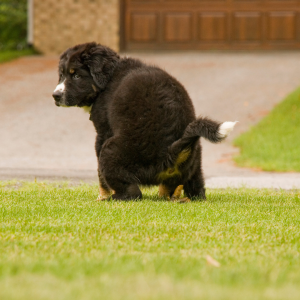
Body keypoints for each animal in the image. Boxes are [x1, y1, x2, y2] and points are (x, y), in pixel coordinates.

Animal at [53, 42, 237, 202]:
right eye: (61, 75)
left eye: (76, 75)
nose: (55, 96)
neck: (109, 78)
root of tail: (170, 153)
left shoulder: (103, 132)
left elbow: (100, 176)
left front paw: (101, 197)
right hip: (196, 159)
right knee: (196, 190)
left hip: (111, 150)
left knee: (133, 193)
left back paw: (113, 199)